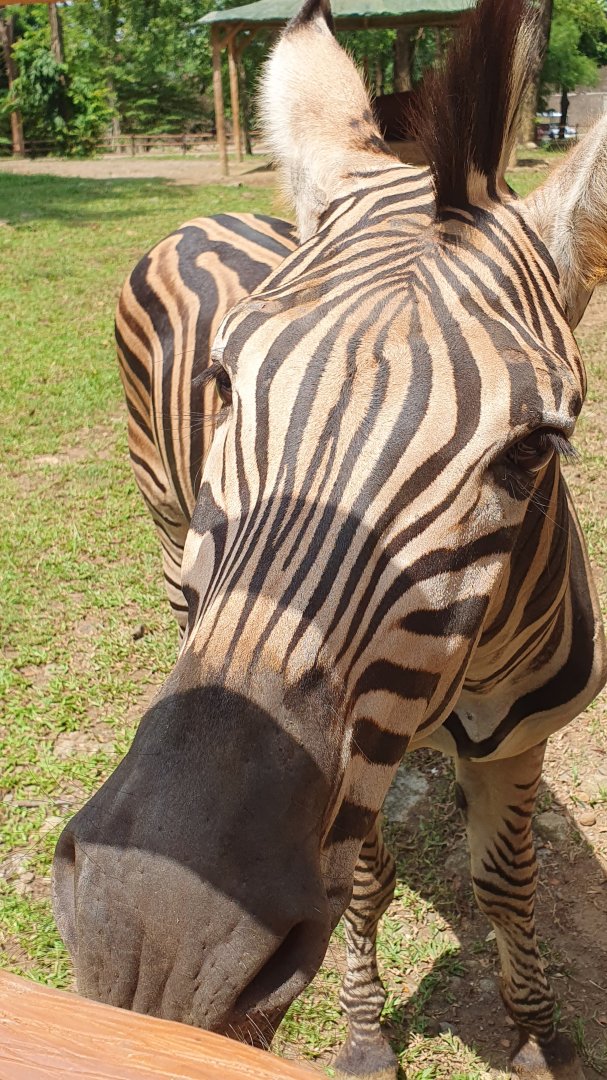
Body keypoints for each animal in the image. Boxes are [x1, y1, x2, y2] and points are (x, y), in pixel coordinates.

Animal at [52, 1, 607, 1078]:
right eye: (225, 385)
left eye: (534, 449)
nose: (153, 945)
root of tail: (201, 218)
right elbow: (362, 883)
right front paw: (360, 1033)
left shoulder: (521, 741)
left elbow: (507, 885)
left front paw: (534, 1030)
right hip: (165, 526)